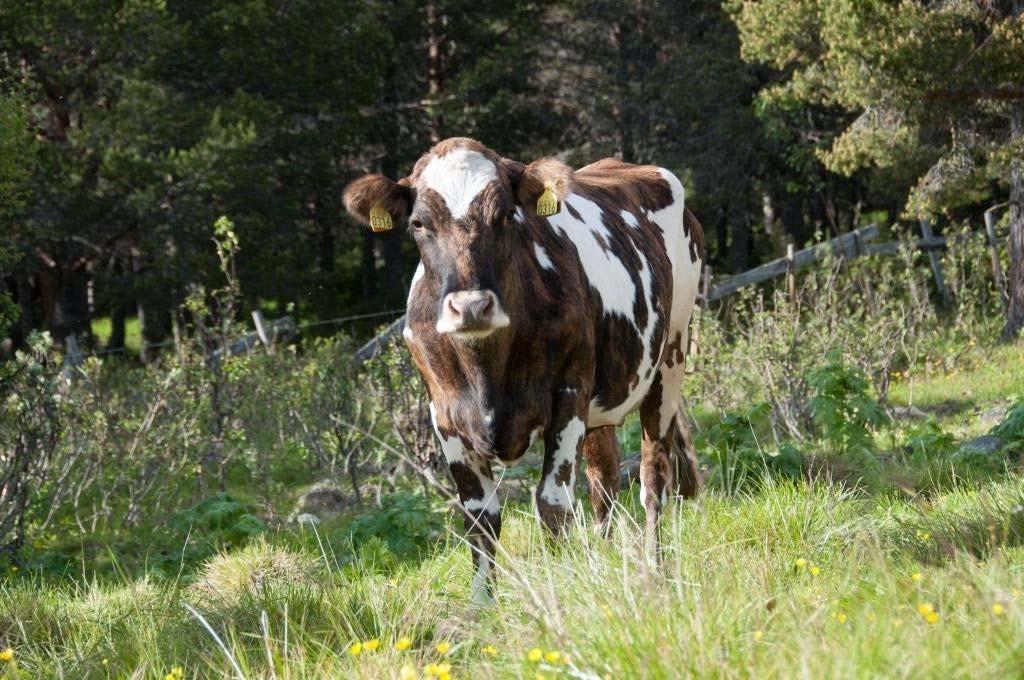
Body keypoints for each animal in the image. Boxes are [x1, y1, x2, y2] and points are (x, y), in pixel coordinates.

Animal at [344, 138, 704, 606]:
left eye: (505, 215)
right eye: (419, 223)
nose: (471, 306)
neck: (487, 372)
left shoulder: (568, 396)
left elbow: (553, 503)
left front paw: (562, 588)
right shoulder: (444, 416)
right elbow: (480, 517)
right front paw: (481, 606)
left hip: (671, 356)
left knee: (652, 479)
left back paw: (655, 571)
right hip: (602, 403)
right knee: (604, 482)